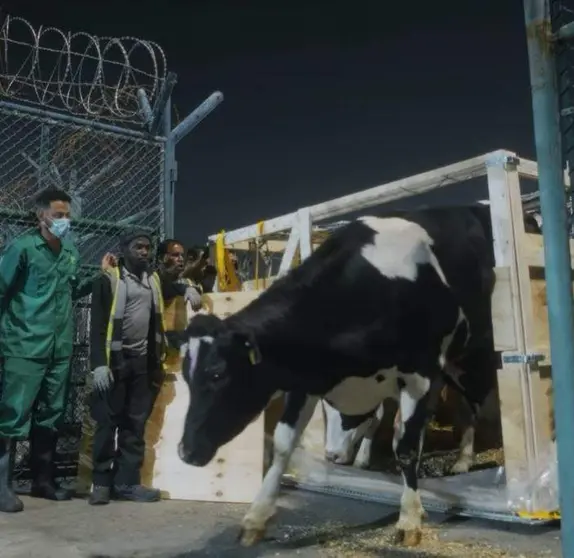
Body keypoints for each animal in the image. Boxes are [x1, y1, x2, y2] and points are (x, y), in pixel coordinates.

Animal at [176, 205, 500, 548]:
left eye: (217, 373)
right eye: (187, 377)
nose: (185, 451)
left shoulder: (419, 373)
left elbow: (406, 448)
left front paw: (409, 519)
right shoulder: (307, 380)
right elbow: (283, 445)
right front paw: (256, 517)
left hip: (472, 358)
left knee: (473, 403)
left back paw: (464, 460)